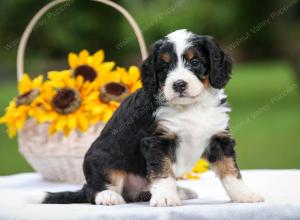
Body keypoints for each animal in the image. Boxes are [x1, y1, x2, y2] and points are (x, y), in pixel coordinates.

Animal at [36, 29, 264, 206]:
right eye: (164, 67)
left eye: (195, 62)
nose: (178, 84)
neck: (191, 107)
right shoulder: (156, 141)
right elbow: (162, 172)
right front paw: (165, 198)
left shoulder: (219, 138)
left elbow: (230, 171)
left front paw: (244, 195)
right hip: (100, 160)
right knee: (94, 189)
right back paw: (108, 196)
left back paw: (178, 191)